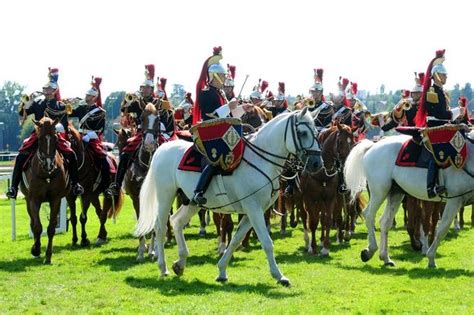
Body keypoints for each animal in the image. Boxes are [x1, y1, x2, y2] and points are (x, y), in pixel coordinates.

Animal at [19, 117, 68, 266]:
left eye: (55, 138)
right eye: (40, 139)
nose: (49, 164)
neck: (46, 173)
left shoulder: (55, 199)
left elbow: (51, 228)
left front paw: (48, 255)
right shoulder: (34, 199)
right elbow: (37, 227)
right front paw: (36, 249)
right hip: (28, 200)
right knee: (32, 222)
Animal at [135, 108, 324, 286]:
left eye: (315, 132)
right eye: (302, 133)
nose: (317, 164)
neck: (261, 159)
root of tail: (162, 149)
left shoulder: (251, 212)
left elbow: (235, 240)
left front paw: (221, 271)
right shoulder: (254, 210)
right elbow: (267, 242)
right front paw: (279, 276)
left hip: (192, 202)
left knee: (177, 221)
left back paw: (180, 263)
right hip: (165, 197)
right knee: (160, 228)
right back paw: (163, 267)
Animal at [344, 134, 474, 270]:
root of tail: (373, 145)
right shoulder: (455, 199)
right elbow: (442, 229)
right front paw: (431, 258)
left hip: (395, 192)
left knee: (385, 222)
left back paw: (385, 258)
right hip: (379, 190)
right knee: (369, 215)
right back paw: (370, 251)